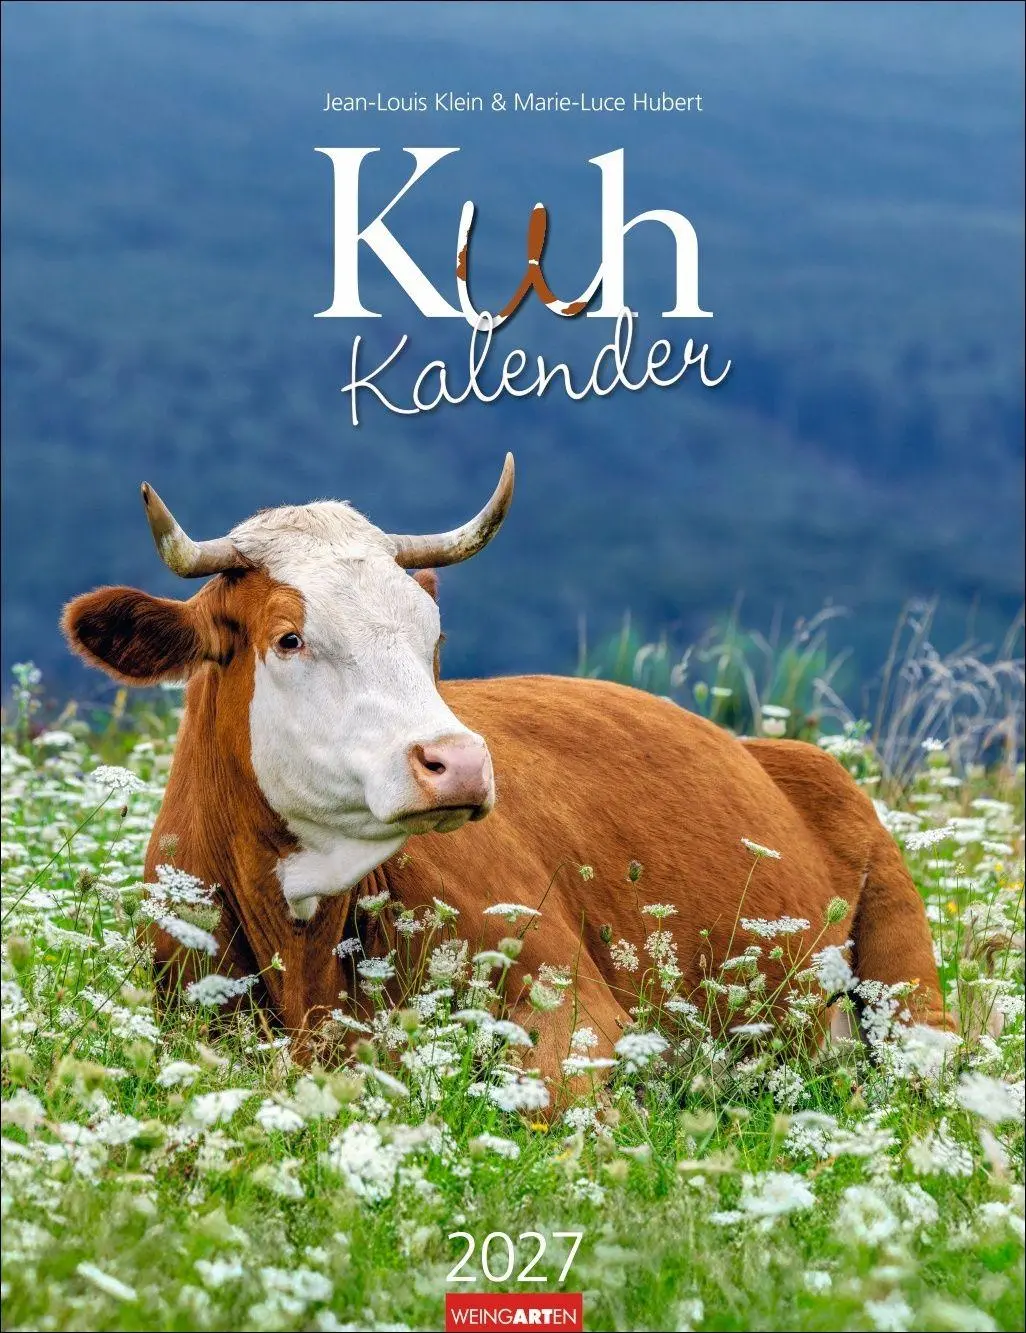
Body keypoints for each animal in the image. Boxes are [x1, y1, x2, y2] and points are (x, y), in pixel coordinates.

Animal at [62, 455, 949, 1086]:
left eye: (434, 638)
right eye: (289, 637)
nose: (458, 762)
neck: (302, 937)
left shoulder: (579, 1009)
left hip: (911, 990)